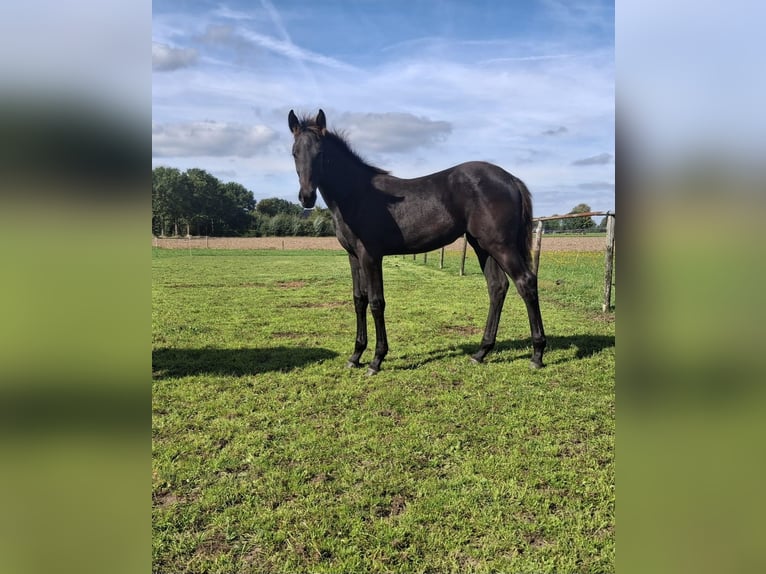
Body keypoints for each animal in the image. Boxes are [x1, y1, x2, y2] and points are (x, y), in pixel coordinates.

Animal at [288, 109, 546, 375]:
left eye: (320, 153)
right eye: (294, 152)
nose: (306, 197)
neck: (356, 194)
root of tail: (511, 179)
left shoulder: (370, 256)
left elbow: (376, 302)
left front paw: (376, 360)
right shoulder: (353, 256)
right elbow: (359, 300)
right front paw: (355, 356)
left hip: (501, 246)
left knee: (525, 282)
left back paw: (537, 354)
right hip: (482, 245)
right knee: (497, 287)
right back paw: (481, 352)